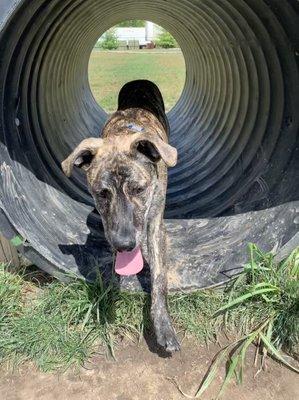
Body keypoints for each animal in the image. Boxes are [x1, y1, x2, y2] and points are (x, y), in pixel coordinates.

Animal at [61, 79, 180, 352]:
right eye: (101, 193)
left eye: (139, 189)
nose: (125, 244)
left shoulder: (155, 223)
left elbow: (159, 279)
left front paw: (163, 327)